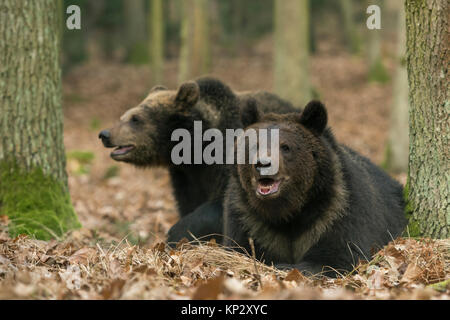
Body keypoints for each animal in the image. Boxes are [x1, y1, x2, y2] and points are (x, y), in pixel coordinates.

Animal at [98, 77, 296, 242]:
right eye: (124, 116)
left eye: (135, 118)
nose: (105, 134)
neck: (195, 148)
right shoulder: (185, 175)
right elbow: (188, 202)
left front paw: (174, 235)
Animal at [223, 100, 406, 278]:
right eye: (255, 145)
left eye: (285, 146)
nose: (263, 164)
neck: (290, 211)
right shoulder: (248, 219)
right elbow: (239, 246)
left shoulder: (337, 210)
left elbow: (338, 256)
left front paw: (287, 266)